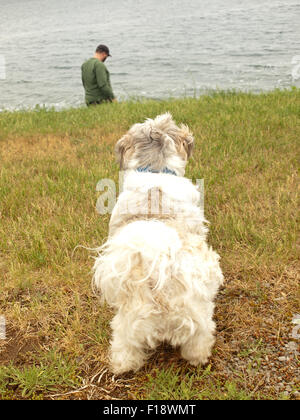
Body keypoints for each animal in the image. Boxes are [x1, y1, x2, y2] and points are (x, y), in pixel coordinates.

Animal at [93, 112, 223, 374]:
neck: (155, 174)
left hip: (126, 320)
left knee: (125, 345)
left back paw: (123, 365)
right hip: (197, 308)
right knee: (200, 335)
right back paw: (199, 357)